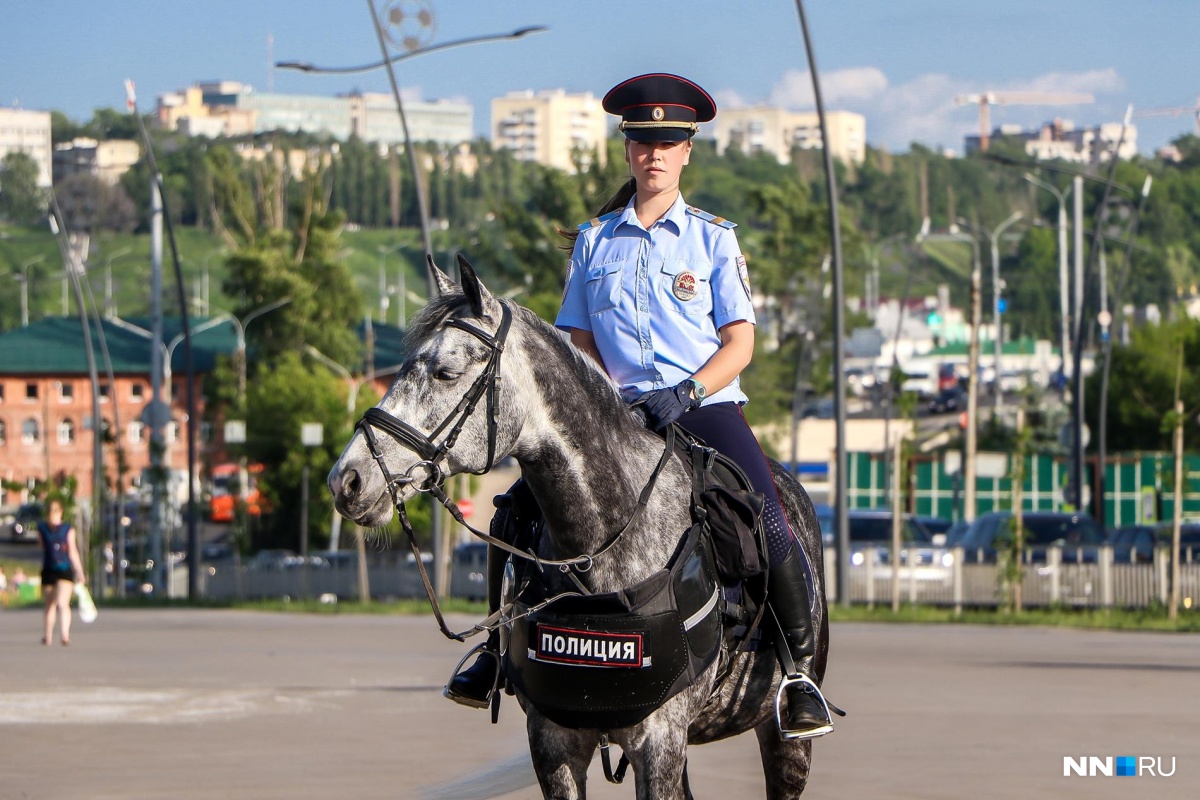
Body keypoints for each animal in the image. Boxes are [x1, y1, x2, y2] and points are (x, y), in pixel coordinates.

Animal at [333, 257, 830, 800]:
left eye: (446, 372)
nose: (348, 479)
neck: (602, 544)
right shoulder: (554, 742)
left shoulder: (660, 742)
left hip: (783, 742)